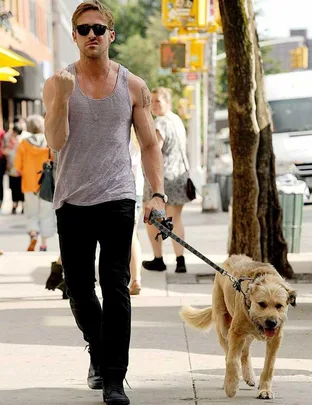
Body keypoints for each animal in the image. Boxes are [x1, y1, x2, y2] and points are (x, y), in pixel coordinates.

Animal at [179, 254, 296, 400]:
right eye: (261, 304)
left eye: (279, 306)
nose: (271, 322)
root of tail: (231, 258)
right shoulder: (235, 333)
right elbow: (232, 361)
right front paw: (231, 387)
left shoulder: (275, 338)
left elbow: (269, 366)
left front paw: (264, 390)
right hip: (224, 328)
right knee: (229, 354)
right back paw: (228, 380)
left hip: (248, 334)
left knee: (244, 352)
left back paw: (249, 376)